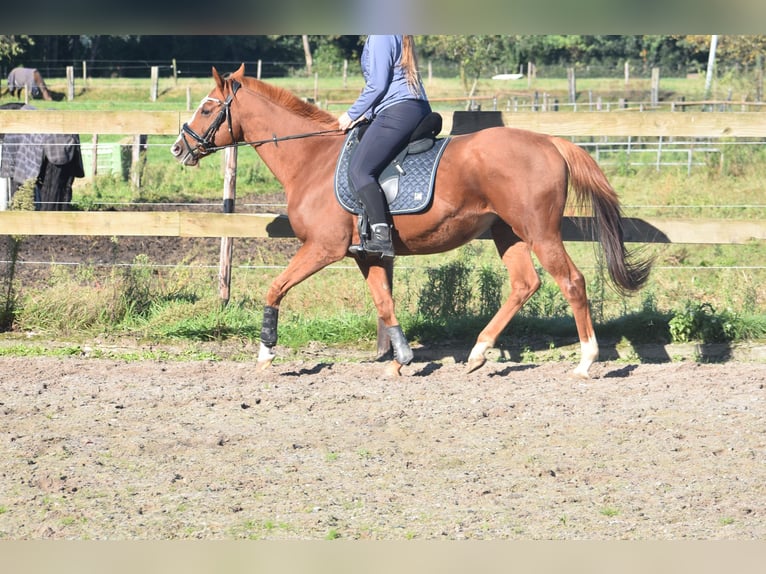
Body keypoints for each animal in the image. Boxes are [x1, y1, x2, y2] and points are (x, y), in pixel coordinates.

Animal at [171, 65, 652, 380]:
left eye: (207, 108)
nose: (179, 148)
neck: (311, 159)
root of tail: (550, 141)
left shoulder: (323, 248)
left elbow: (275, 288)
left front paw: (265, 353)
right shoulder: (365, 254)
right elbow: (384, 303)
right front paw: (402, 358)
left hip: (539, 231)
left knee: (571, 281)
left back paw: (586, 361)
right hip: (508, 232)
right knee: (525, 284)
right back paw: (478, 353)